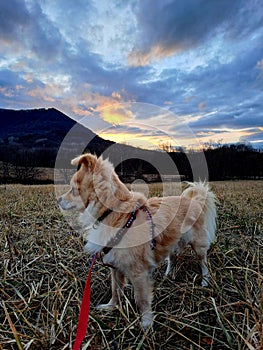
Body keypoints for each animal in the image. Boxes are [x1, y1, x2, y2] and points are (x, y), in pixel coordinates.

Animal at [58, 152, 218, 328]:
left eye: (73, 190)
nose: (58, 199)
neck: (114, 214)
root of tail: (195, 200)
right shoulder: (115, 267)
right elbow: (116, 289)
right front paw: (111, 307)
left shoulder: (138, 273)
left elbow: (141, 300)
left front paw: (146, 323)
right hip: (172, 241)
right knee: (172, 258)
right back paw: (168, 274)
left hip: (198, 244)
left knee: (203, 262)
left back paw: (205, 281)